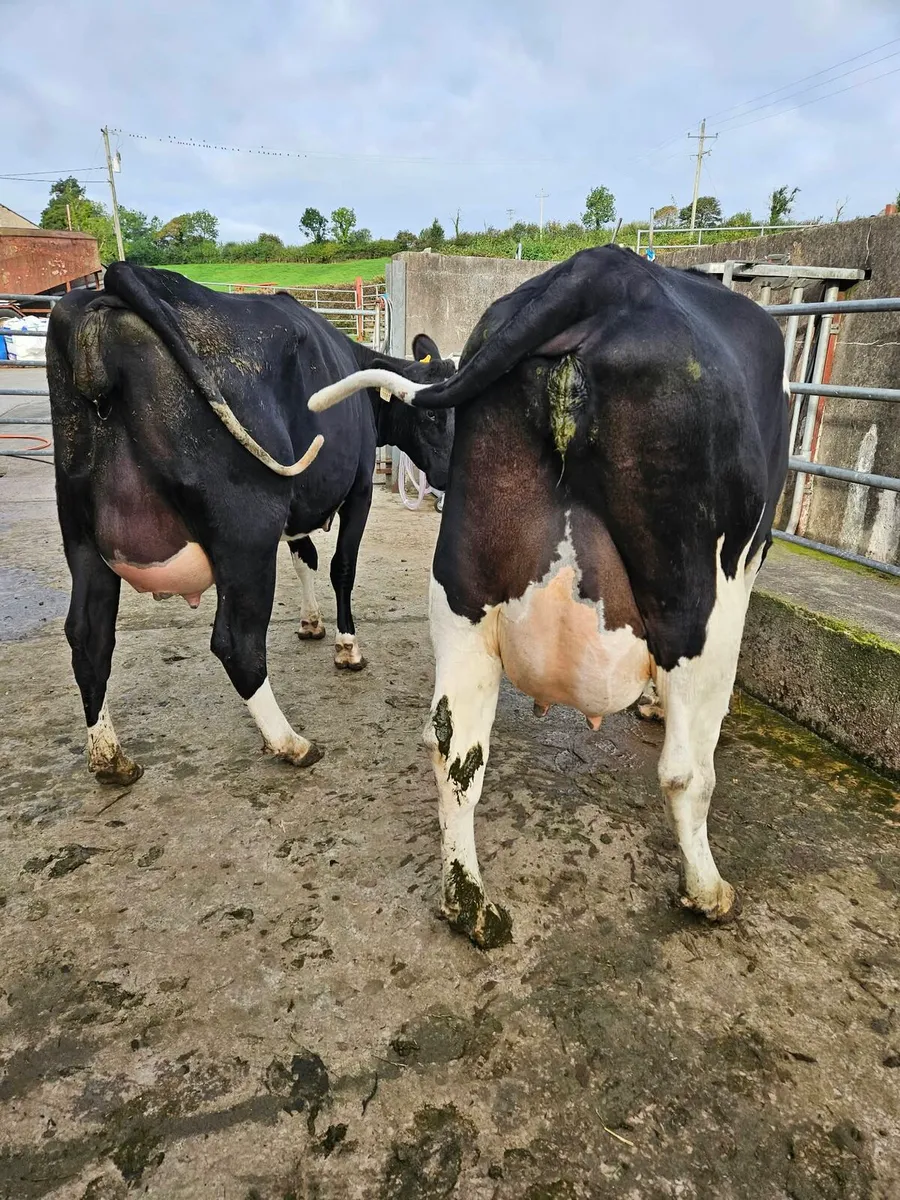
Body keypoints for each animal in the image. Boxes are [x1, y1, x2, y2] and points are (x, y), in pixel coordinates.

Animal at [46, 263, 454, 785]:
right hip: (247, 530)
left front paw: (310, 623)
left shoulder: (299, 505)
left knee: (89, 636)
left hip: (81, 534)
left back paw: (110, 757)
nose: (450, 473)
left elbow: (306, 557)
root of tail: (123, 277)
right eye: (432, 416)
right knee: (235, 641)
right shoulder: (358, 487)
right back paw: (290, 742)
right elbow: (341, 567)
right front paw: (347, 647)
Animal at [308, 244, 789, 948]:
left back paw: (471, 907)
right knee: (685, 771)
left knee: (455, 749)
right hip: (700, 600)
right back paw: (707, 890)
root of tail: (601, 271)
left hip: (463, 589)